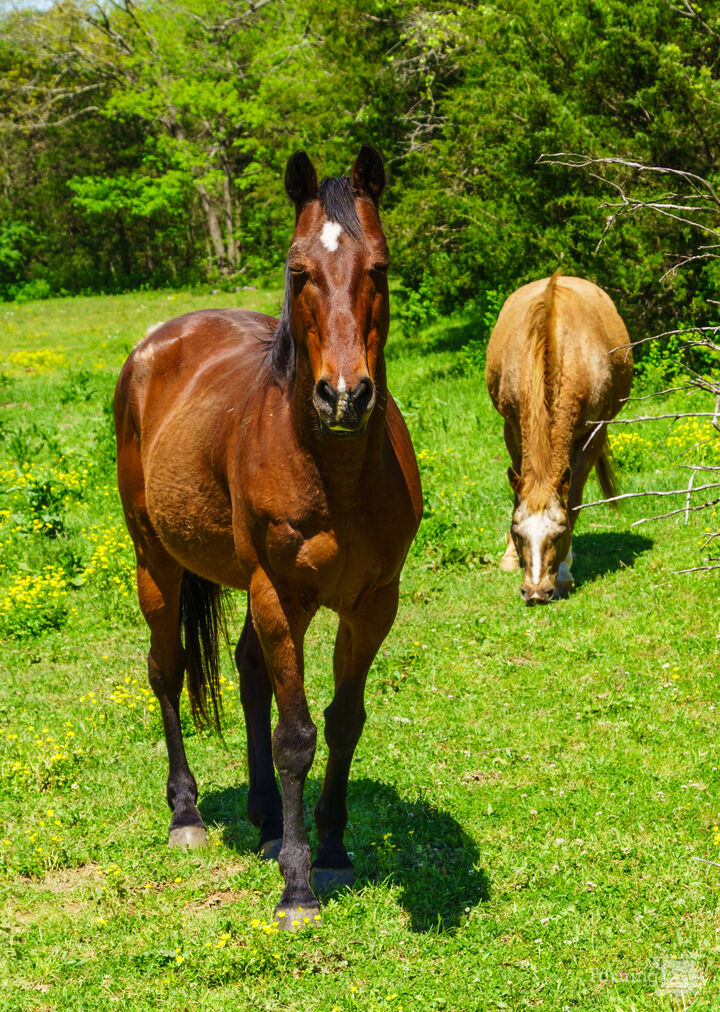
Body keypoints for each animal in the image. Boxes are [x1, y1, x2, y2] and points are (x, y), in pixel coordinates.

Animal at [114, 145, 423, 927]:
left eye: (379, 268)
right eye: (298, 270)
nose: (344, 396)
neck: (334, 470)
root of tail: (156, 344)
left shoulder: (373, 602)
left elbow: (344, 721)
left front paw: (332, 849)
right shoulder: (281, 595)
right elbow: (296, 737)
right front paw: (299, 886)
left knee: (249, 673)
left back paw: (262, 820)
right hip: (156, 564)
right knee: (166, 671)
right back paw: (188, 815)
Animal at [485, 272, 633, 603]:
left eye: (561, 532)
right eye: (518, 531)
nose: (536, 591)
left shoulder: (593, 433)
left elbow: (574, 498)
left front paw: (565, 572)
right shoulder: (512, 428)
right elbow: (518, 491)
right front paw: (510, 556)